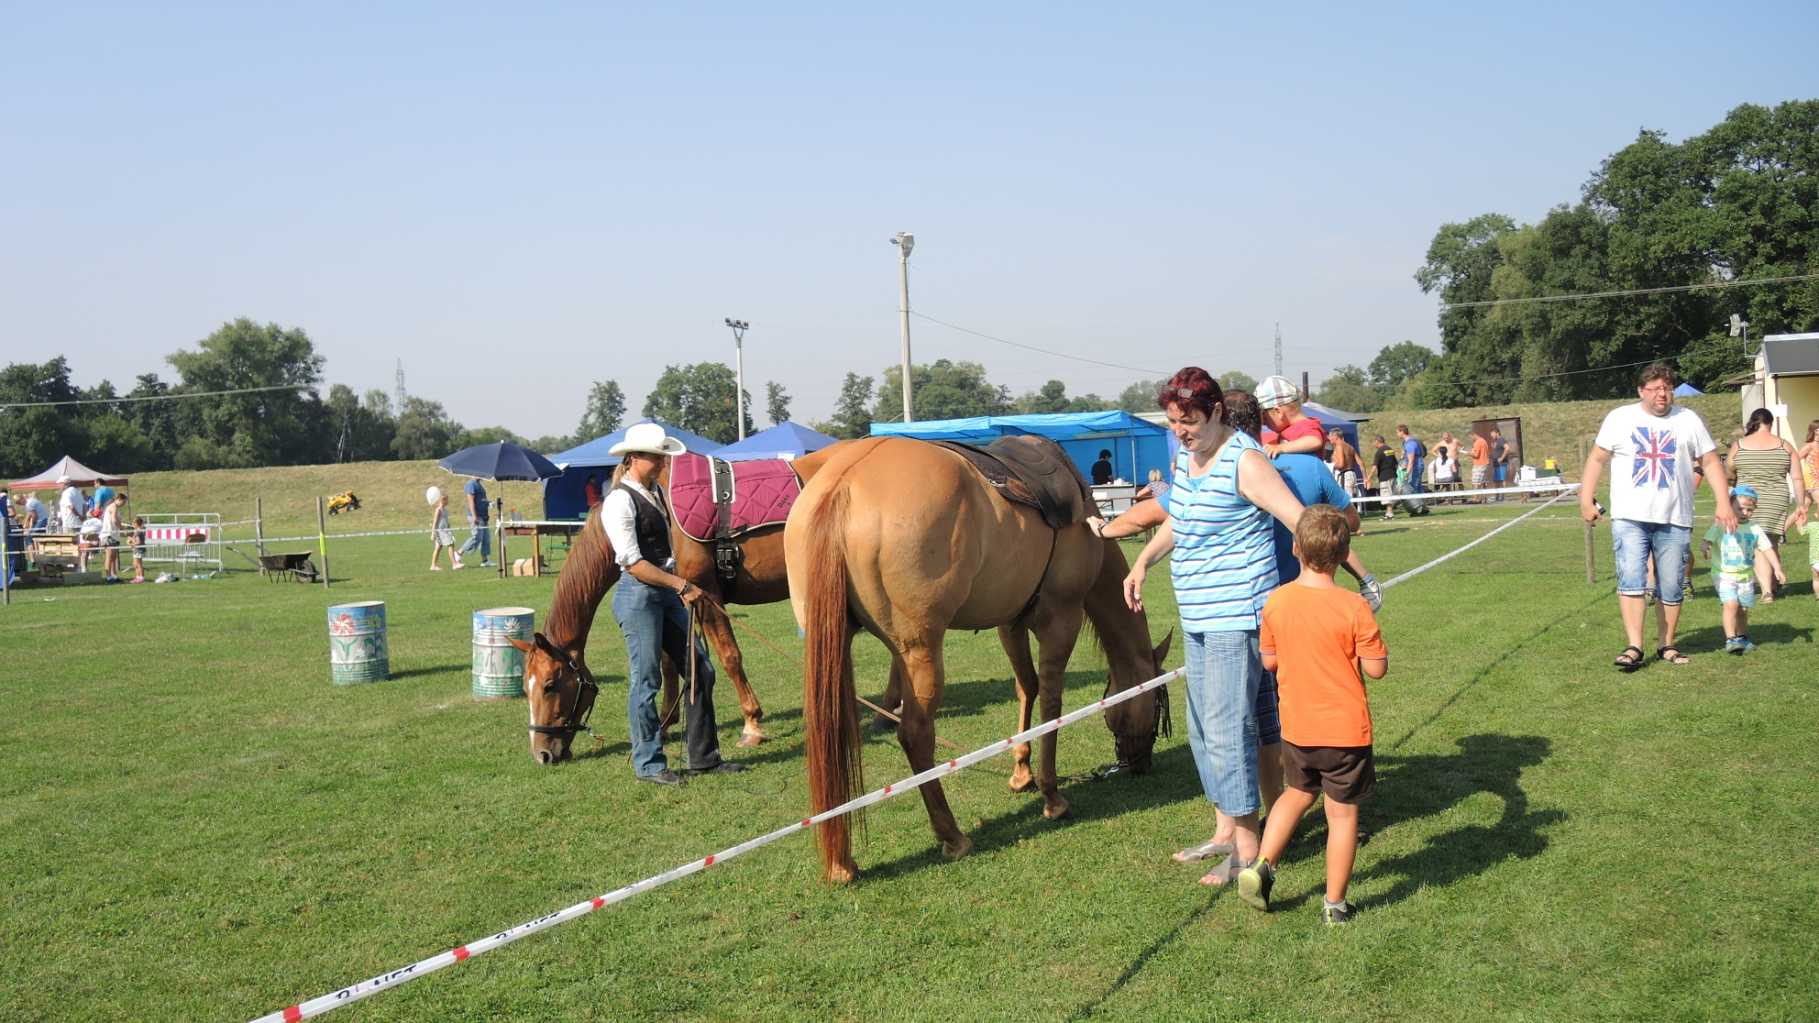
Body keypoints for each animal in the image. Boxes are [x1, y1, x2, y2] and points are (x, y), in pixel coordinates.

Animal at [516, 442, 847, 760]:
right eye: (525, 688)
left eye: (549, 685)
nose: (542, 753)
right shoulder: (675, 598)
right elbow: (667, 662)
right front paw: (665, 722)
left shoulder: (707, 595)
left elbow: (730, 657)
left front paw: (752, 725)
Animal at [782, 433, 1164, 881]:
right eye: (1158, 705)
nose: (1141, 764)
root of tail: (843, 482)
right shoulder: (1061, 619)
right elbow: (1052, 704)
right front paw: (1052, 796)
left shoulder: (1010, 623)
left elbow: (1026, 688)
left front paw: (1022, 773)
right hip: (920, 652)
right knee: (915, 734)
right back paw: (952, 836)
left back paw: (842, 861)